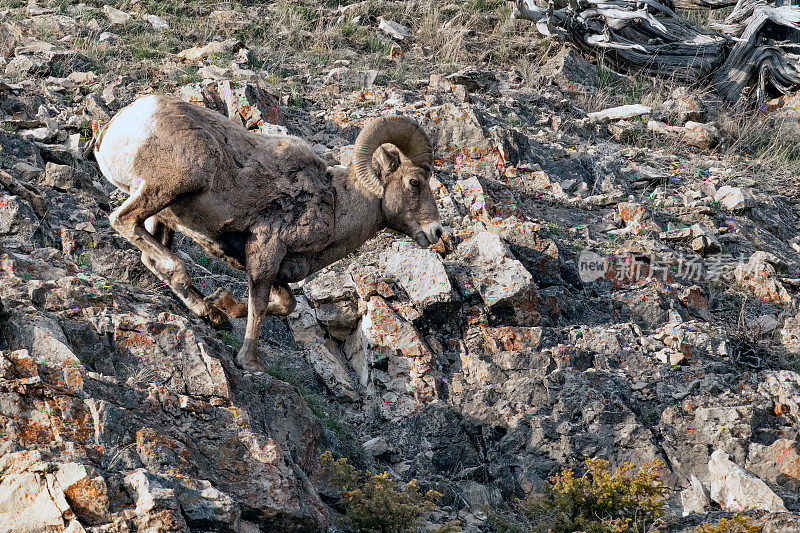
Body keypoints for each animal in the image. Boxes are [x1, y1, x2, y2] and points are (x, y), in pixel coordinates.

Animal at [96, 94, 444, 370]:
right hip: (170, 186)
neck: (335, 205)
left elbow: (284, 305)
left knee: (149, 255)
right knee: (123, 221)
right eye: (414, 183)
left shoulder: (278, 270)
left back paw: (210, 312)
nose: (437, 232)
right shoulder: (266, 252)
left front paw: (226, 303)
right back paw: (191, 287)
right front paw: (250, 362)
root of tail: (118, 125)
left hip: (165, 214)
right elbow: (259, 305)